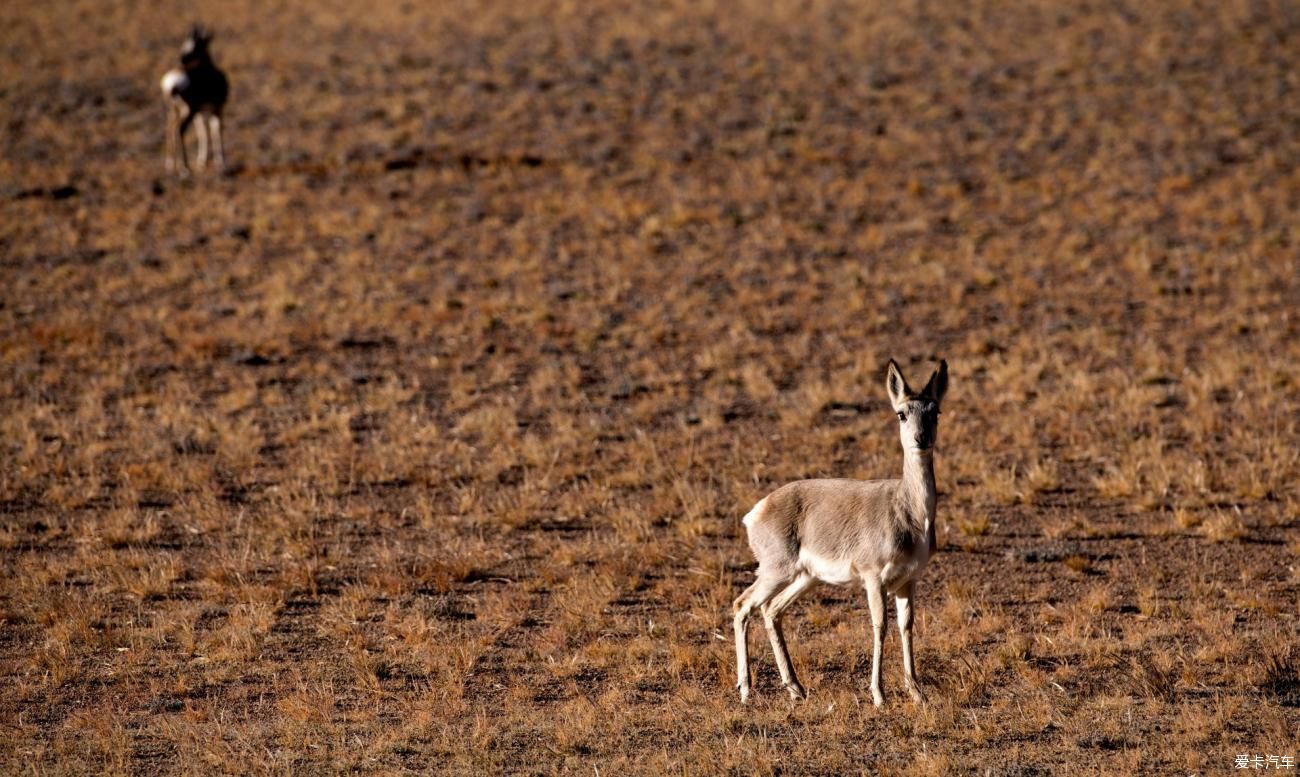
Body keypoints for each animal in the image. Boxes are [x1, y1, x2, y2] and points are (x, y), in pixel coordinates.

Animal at [165, 26, 231, 175]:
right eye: (187, 45)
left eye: (192, 45)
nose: (181, 59)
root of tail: (173, 83)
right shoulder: (217, 109)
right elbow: (215, 130)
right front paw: (221, 164)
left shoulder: (201, 113)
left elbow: (203, 132)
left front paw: (202, 162)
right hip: (189, 111)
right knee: (180, 129)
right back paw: (184, 167)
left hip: (174, 110)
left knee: (170, 128)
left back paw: (171, 165)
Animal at [733, 358, 946, 706]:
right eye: (901, 413)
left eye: (935, 411)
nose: (921, 438)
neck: (909, 511)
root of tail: (758, 509)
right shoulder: (874, 580)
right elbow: (879, 625)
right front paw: (879, 695)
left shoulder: (908, 582)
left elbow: (907, 627)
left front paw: (917, 692)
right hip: (776, 573)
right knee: (743, 606)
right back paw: (747, 690)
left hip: (806, 578)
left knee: (771, 611)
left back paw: (796, 688)